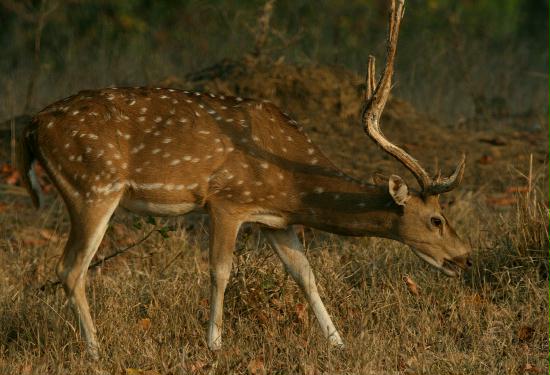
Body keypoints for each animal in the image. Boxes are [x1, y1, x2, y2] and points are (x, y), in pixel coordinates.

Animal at [19, 0, 472, 358]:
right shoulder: (227, 200)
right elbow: (220, 270)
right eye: (436, 219)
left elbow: (306, 275)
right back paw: (96, 351)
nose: (465, 256)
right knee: (71, 268)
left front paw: (338, 342)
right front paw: (214, 344)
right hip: (92, 187)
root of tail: (33, 127)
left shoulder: (276, 220)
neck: (293, 184)